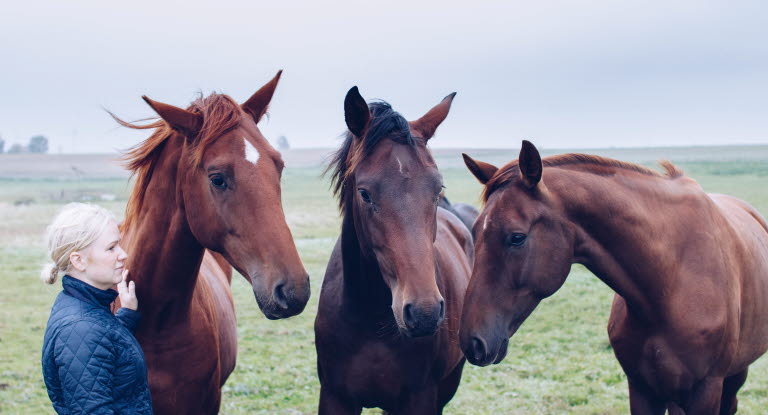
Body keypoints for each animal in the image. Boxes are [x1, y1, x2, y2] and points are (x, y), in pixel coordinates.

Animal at [314, 86, 474, 414]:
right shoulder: (335, 397)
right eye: (364, 193)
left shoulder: (421, 397)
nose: (424, 313)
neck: (370, 321)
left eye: (437, 188)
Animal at [460, 141, 768, 414]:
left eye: (517, 237)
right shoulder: (643, 389)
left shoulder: (706, 390)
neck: (670, 283)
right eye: (474, 232)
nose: (471, 343)